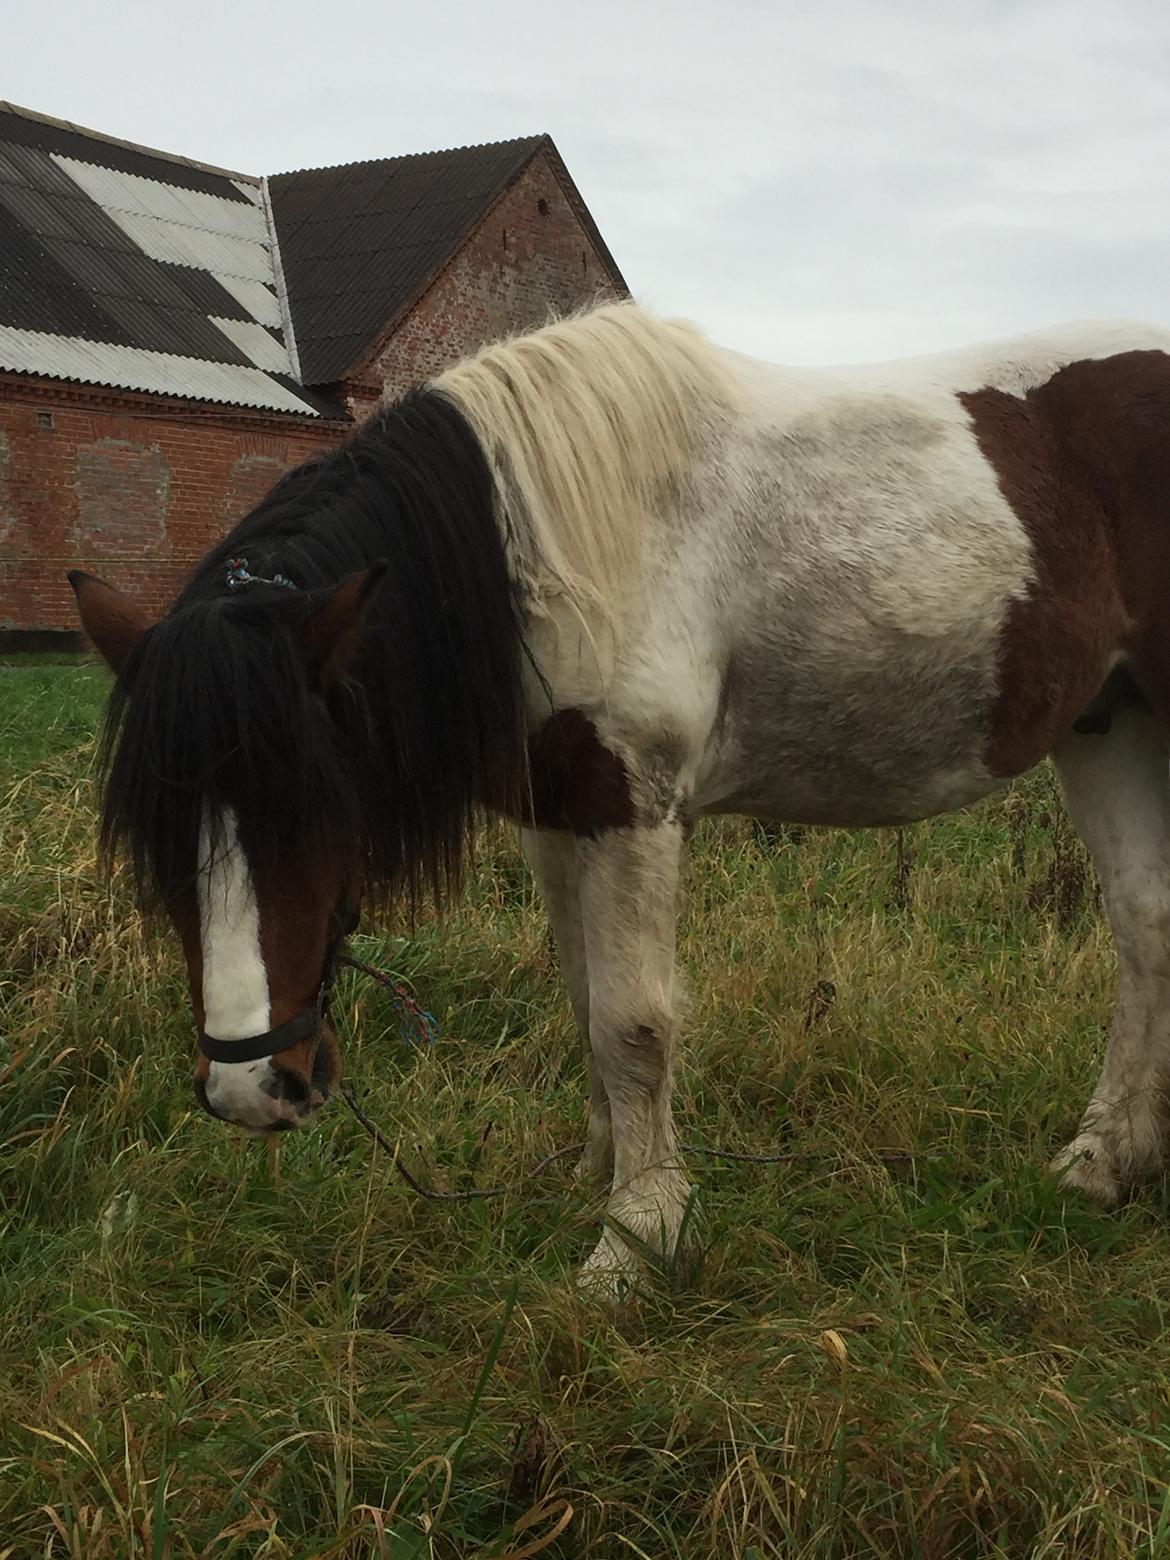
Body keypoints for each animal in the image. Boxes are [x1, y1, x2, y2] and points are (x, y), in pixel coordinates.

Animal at [70, 301, 1170, 1291]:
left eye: (316, 809)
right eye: (157, 835)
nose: (250, 1089)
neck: (528, 548)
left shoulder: (631, 810)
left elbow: (634, 1024)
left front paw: (637, 1242)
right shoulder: (559, 820)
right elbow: (583, 997)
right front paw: (596, 1182)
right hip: (1105, 727)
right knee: (1145, 925)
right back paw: (1101, 1164)